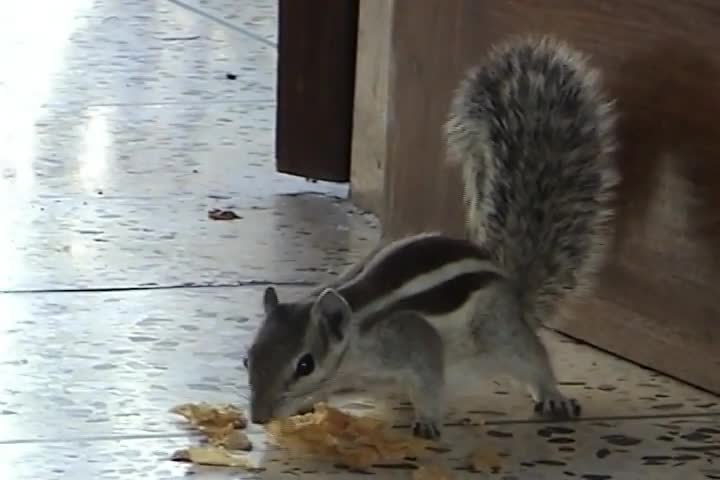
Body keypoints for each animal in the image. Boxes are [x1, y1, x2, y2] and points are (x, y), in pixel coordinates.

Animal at [244, 35, 619, 440]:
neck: (355, 338)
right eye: (248, 356)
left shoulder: (413, 342)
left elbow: (428, 381)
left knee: (533, 358)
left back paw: (553, 397)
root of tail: (513, 287)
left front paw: (427, 420)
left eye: (305, 364)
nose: (258, 417)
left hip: (500, 332)